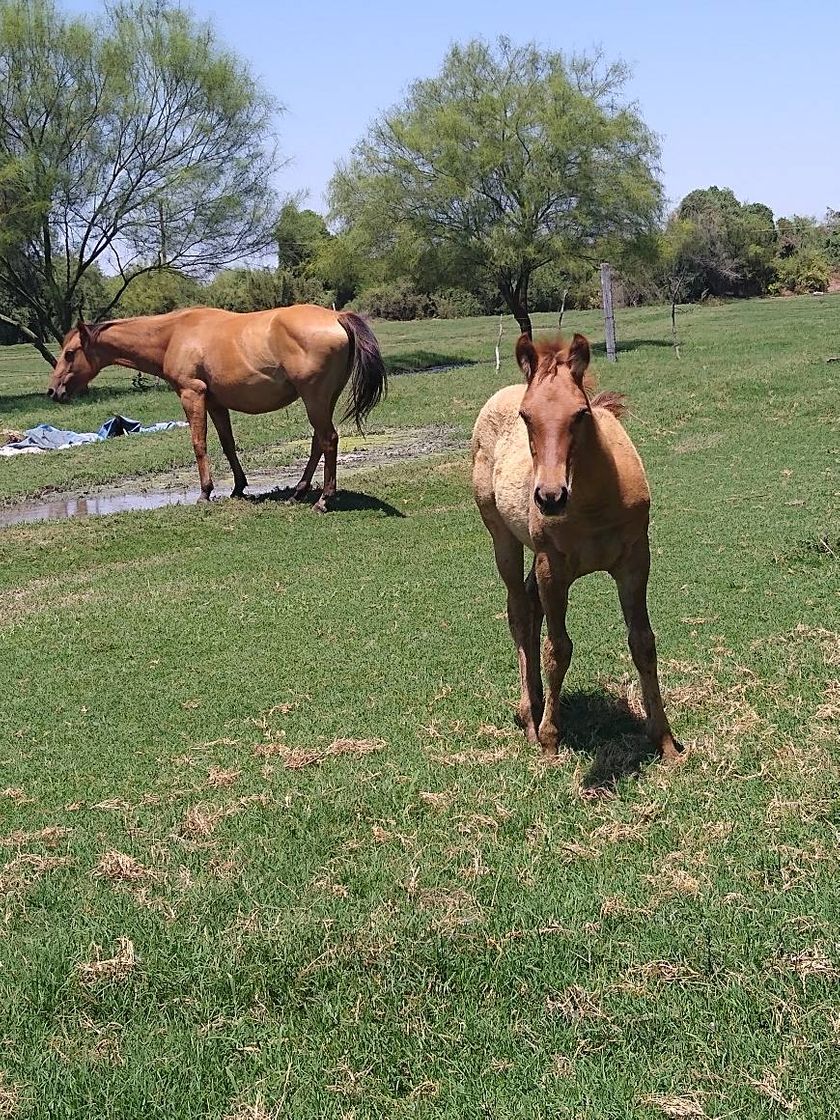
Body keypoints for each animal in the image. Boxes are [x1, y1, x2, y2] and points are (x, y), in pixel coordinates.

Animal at [45, 304, 387, 510]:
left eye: (71, 353)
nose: (53, 391)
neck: (174, 334)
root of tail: (336, 317)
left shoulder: (191, 395)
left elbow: (199, 444)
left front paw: (205, 492)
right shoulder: (216, 403)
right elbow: (227, 444)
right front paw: (237, 488)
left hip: (314, 399)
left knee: (328, 440)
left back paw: (323, 500)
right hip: (322, 400)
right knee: (319, 441)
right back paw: (299, 492)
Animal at [474, 331, 685, 761]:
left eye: (580, 414)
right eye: (526, 416)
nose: (550, 498)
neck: (593, 504)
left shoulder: (635, 560)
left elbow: (643, 642)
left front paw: (666, 742)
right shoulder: (552, 568)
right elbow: (558, 649)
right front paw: (551, 740)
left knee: (529, 605)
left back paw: (538, 703)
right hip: (503, 537)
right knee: (519, 611)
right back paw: (531, 716)